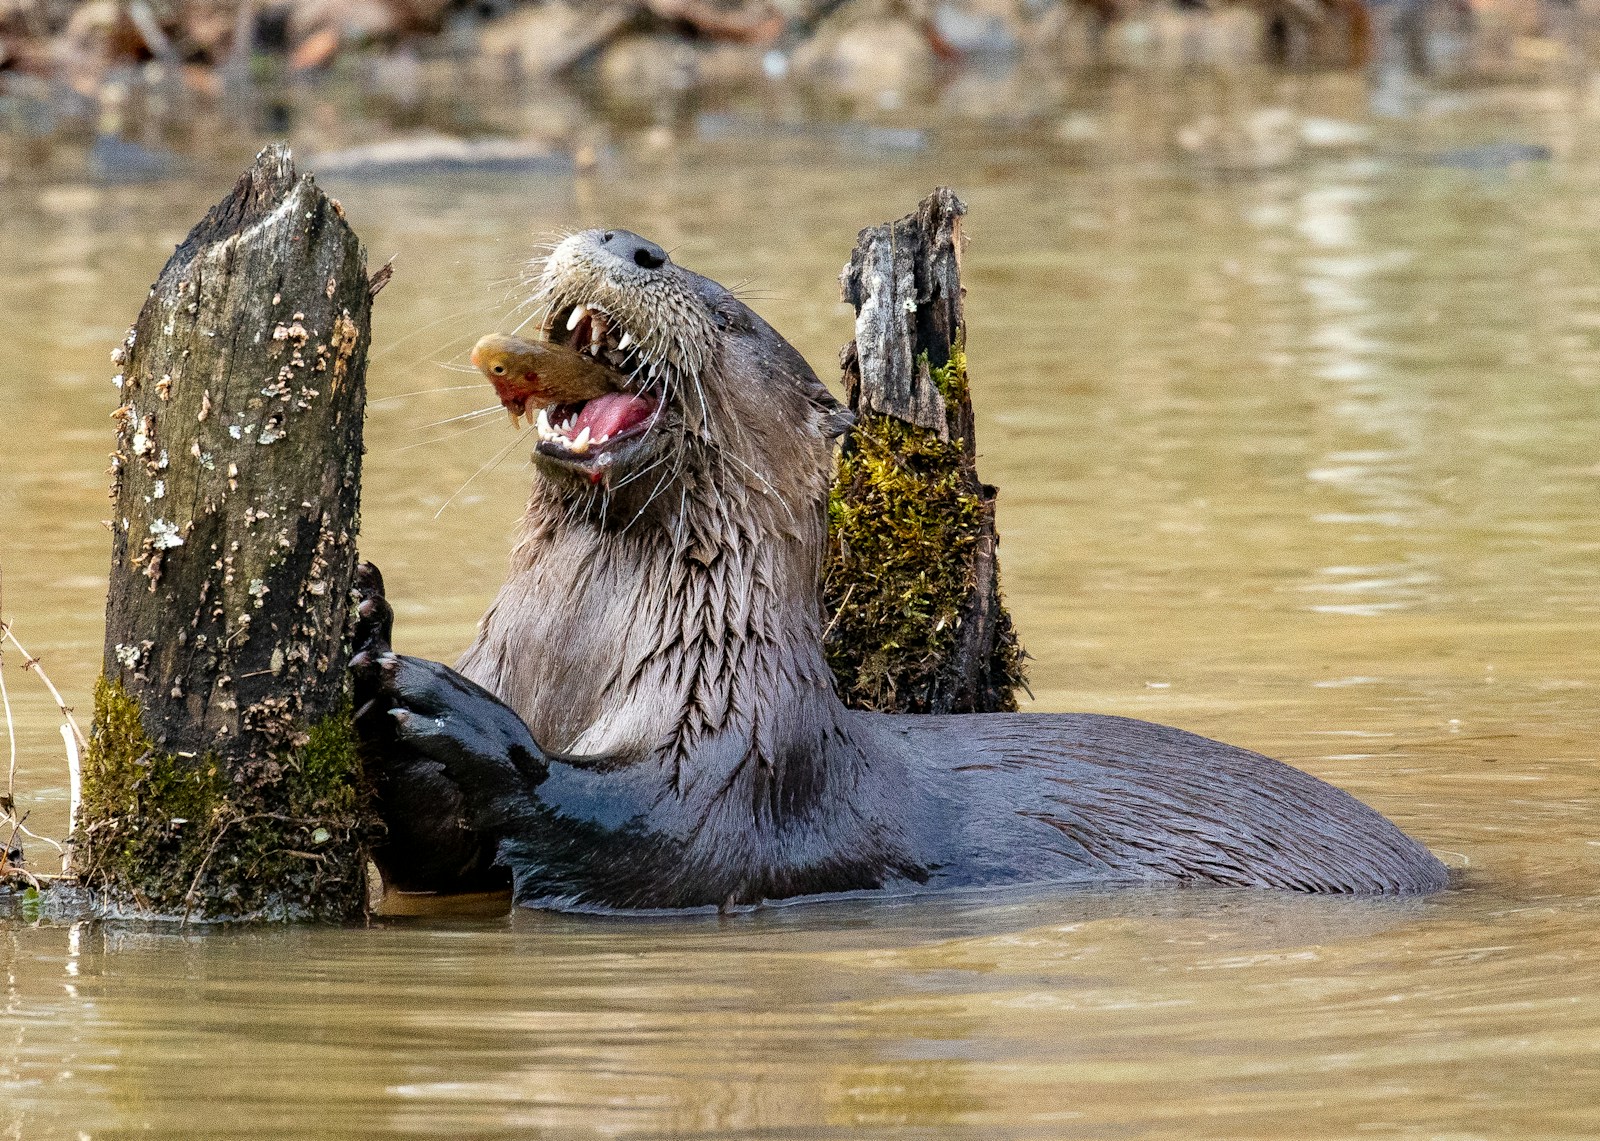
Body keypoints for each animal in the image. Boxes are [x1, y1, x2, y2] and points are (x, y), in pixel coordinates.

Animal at [351, 227, 1448, 909]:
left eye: (728, 315)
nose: (626, 242)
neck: (571, 669)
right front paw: (366, 618)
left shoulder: (750, 765)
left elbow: (647, 834)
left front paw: (461, 720)